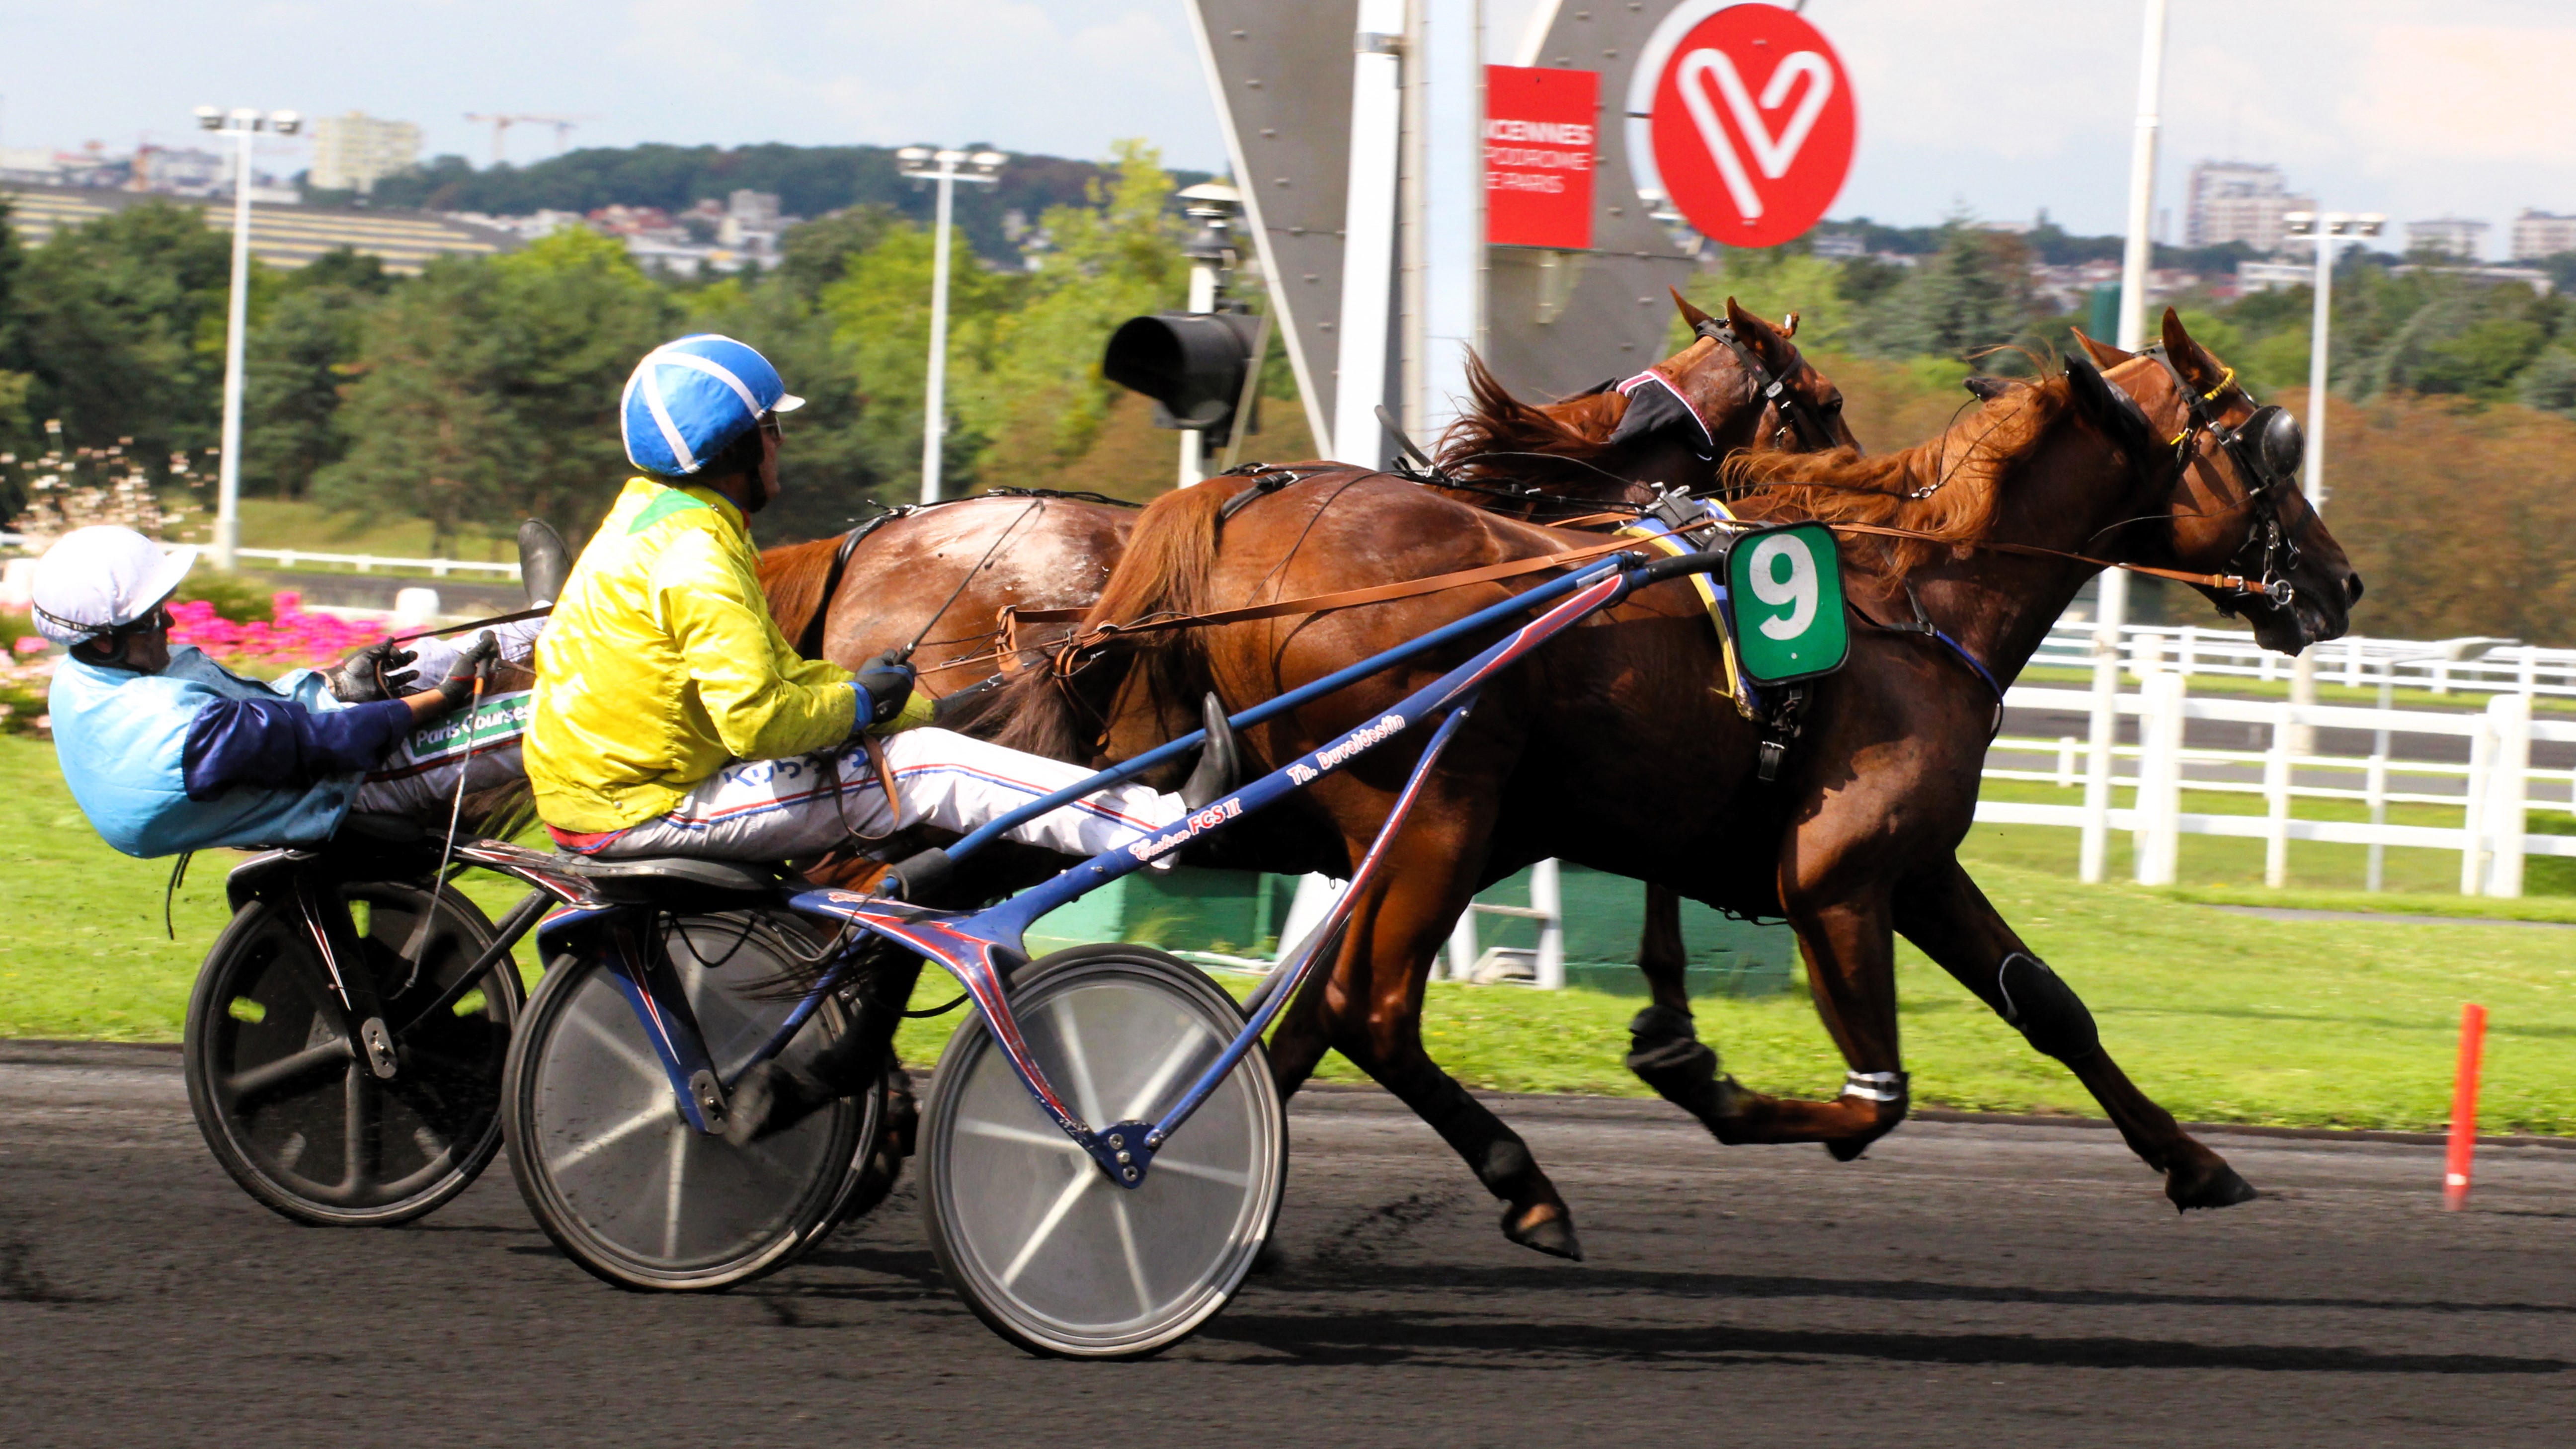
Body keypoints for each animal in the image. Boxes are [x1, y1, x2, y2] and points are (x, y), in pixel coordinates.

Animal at [999, 307, 2359, 1253]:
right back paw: (1526, 1191)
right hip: (1433, 808)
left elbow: (2053, 1006)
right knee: (1371, 1009)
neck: (1921, 596)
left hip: (1409, 822)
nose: (2337, 583)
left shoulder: (1917, 867)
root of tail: (1239, 506)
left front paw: (2196, 1162)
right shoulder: (1835, 878)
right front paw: (1695, 1069)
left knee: (1324, 1014)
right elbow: (1875, 1097)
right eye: (2266, 449)